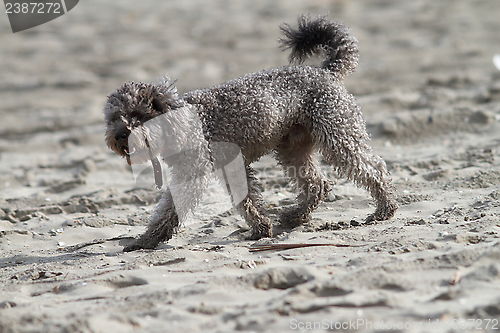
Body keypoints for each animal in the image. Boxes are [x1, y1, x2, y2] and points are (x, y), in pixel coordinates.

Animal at [104, 14, 398, 250]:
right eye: (113, 118)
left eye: (138, 116)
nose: (120, 136)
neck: (181, 122)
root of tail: (326, 71)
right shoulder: (230, 166)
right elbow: (247, 200)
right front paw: (261, 228)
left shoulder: (194, 174)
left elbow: (170, 210)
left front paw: (146, 240)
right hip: (293, 148)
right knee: (318, 183)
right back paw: (295, 216)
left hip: (338, 135)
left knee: (374, 169)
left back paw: (384, 209)